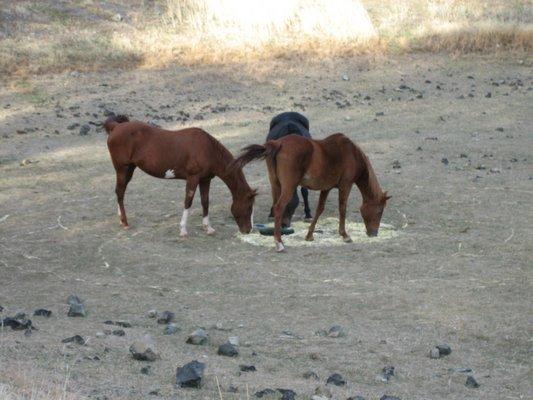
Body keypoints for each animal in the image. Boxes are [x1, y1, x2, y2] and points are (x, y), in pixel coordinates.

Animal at [103, 114, 256, 236]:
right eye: (249, 207)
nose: (248, 230)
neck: (207, 149)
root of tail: (116, 127)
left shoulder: (205, 180)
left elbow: (205, 201)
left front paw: (208, 228)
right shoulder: (193, 178)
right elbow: (188, 201)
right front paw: (183, 230)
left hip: (129, 169)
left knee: (120, 192)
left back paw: (121, 218)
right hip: (122, 169)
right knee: (120, 192)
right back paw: (125, 222)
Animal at [232, 133, 386, 252]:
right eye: (379, 211)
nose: (374, 233)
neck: (351, 153)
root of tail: (278, 143)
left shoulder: (326, 188)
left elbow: (319, 210)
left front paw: (309, 235)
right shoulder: (345, 185)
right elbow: (342, 209)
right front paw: (344, 235)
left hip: (275, 186)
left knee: (275, 208)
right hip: (288, 188)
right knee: (279, 208)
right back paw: (279, 243)